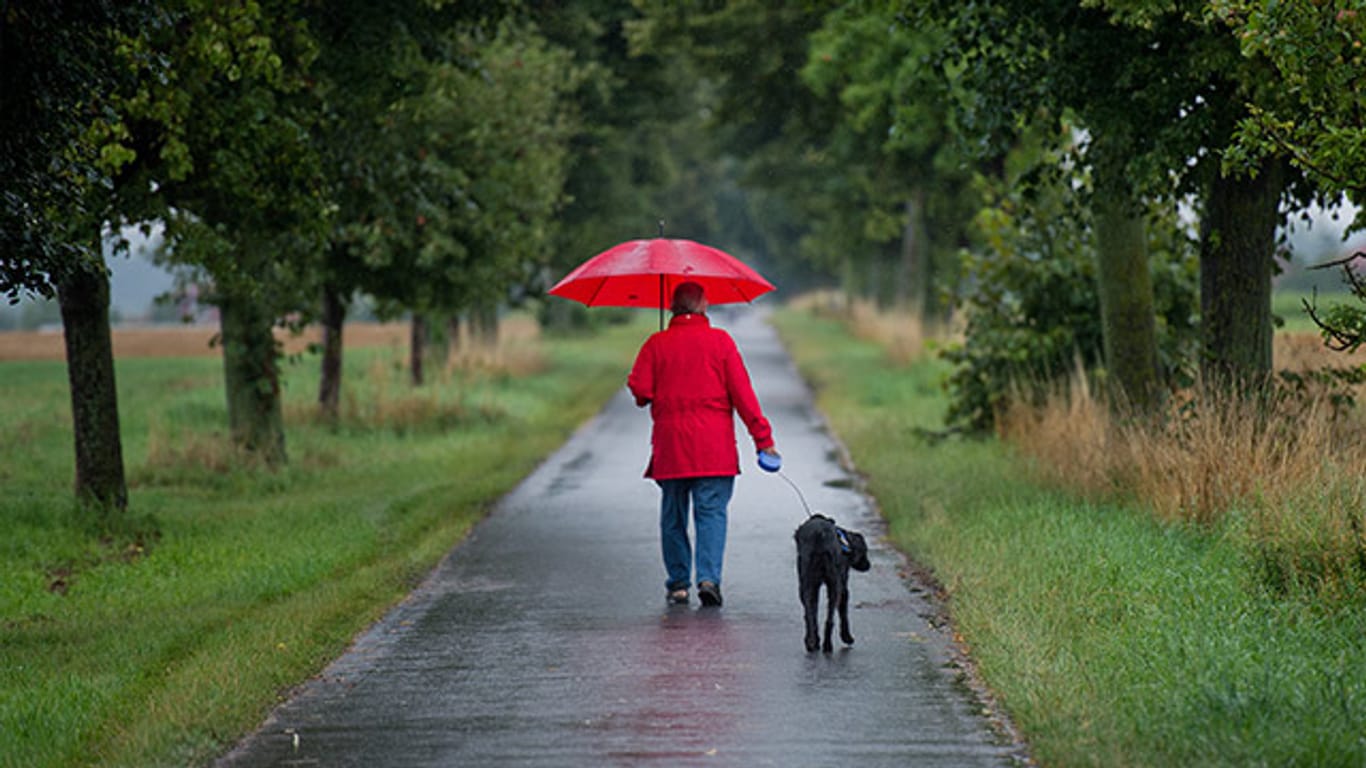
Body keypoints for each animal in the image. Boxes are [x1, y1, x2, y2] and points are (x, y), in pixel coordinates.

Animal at [797, 511, 868, 647]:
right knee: (829, 618)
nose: (868, 565)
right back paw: (826, 645)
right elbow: (844, 615)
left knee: (810, 615)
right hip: (834, 586)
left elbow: (812, 612)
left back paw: (813, 642)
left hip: (807, 585)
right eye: (865, 551)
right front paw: (847, 637)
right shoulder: (844, 589)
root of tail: (820, 535)